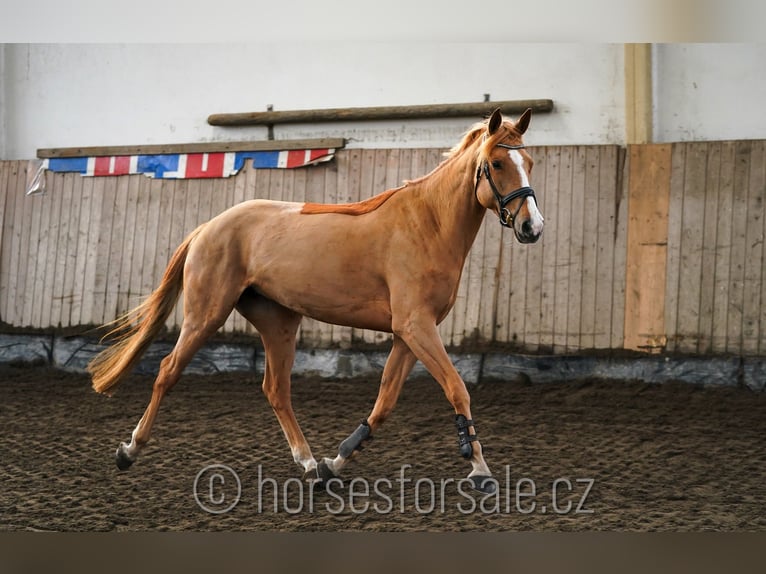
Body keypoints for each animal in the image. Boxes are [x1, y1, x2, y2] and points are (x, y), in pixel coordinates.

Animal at [90, 108, 544, 496]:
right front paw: (481, 471)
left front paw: (334, 463)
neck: (427, 224)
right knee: (168, 371)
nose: (532, 227)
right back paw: (129, 450)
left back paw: (308, 463)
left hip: (278, 322)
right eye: (497, 164)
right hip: (206, 314)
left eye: (530, 161)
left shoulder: (407, 334)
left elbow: (384, 403)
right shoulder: (416, 326)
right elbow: (456, 388)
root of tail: (208, 226)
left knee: (276, 389)